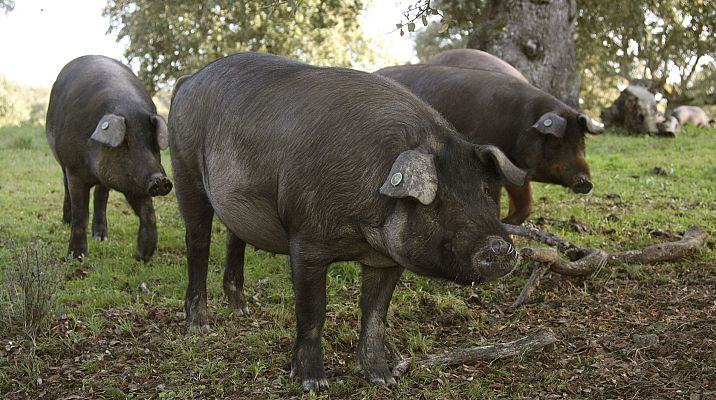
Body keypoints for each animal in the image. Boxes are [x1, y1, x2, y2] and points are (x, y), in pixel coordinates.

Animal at [46, 55, 172, 261]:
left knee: (101, 196)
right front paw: (76, 257)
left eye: (152, 141)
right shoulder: (74, 169)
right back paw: (66, 222)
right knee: (66, 188)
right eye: (125, 142)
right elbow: (80, 213)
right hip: (63, 162)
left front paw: (142, 256)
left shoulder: (134, 180)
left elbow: (148, 212)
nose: (161, 180)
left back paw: (101, 238)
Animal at [169, 52, 527, 391]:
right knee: (197, 243)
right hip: (185, 170)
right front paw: (313, 383)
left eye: (484, 190)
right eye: (436, 199)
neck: (360, 234)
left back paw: (242, 311)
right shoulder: (306, 240)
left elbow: (375, 315)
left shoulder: (386, 260)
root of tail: (188, 80)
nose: (499, 246)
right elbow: (313, 311)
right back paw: (199, 326)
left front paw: (384, 380)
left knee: (234, 238)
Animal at [375, 63, 603, 225]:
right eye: (556, 141)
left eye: (581, 140)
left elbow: (525, 204)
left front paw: (507, 223)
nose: (585, 182)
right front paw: (503, 222)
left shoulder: (517, 171)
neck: (523, 126)